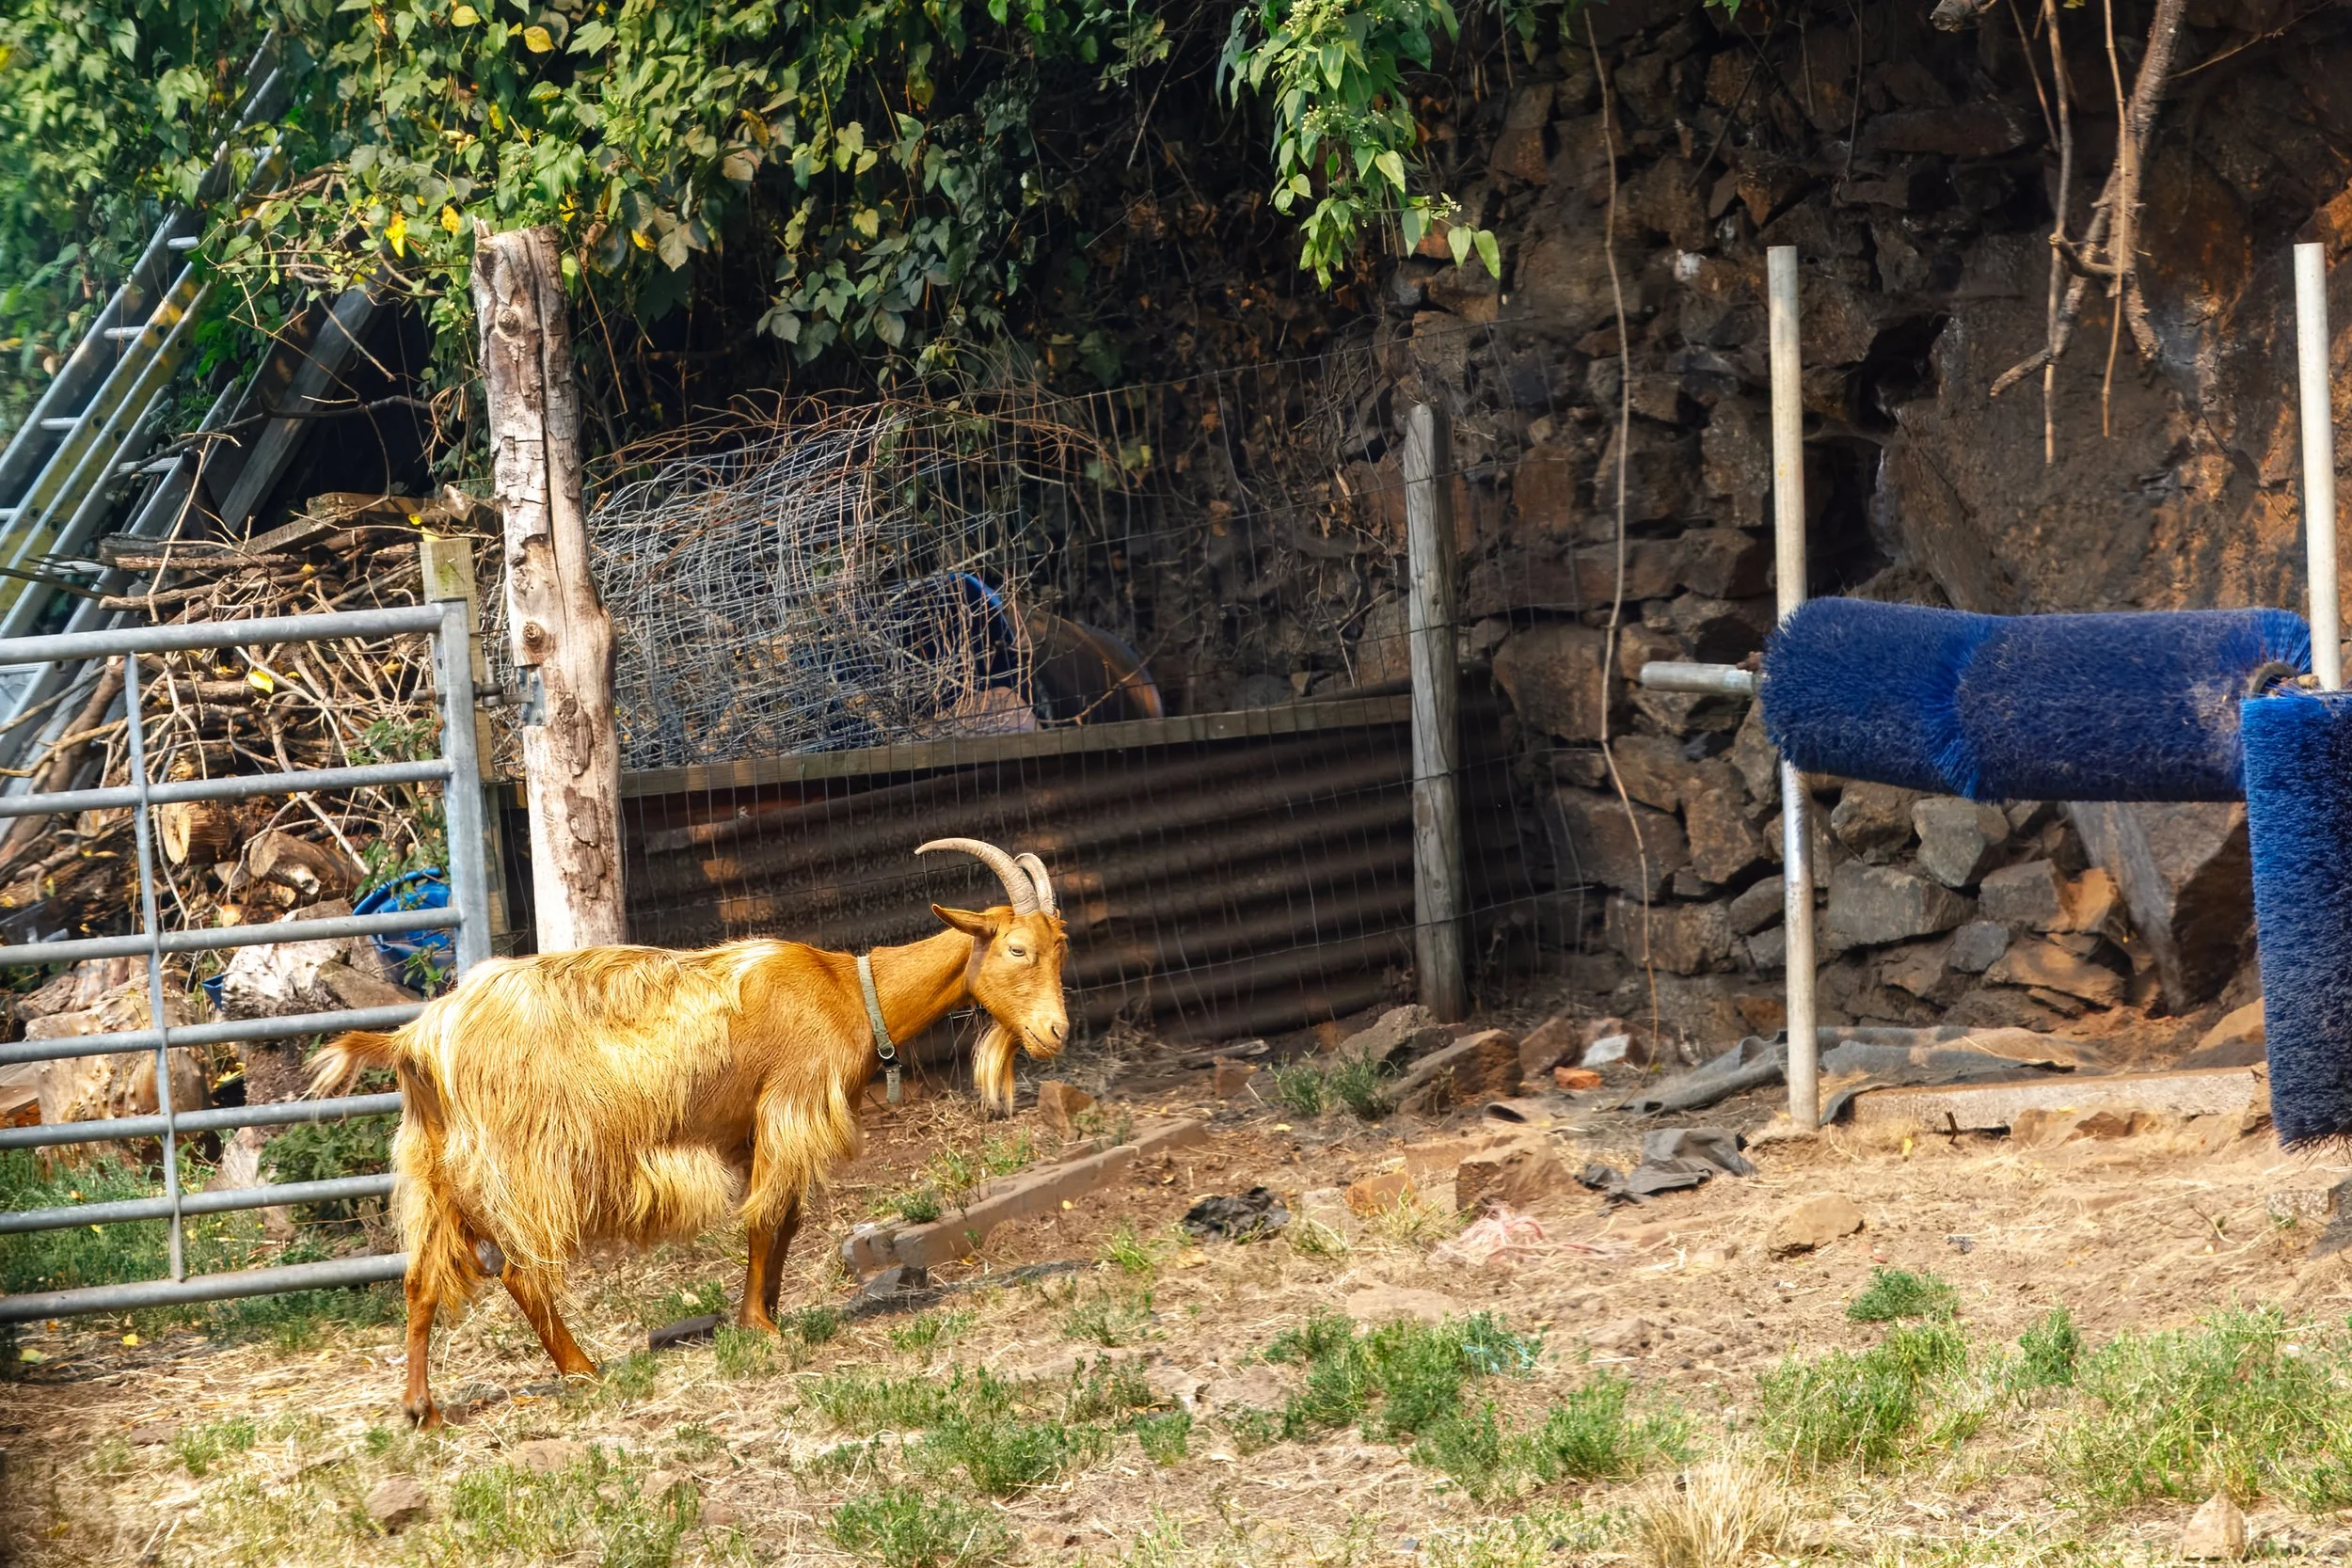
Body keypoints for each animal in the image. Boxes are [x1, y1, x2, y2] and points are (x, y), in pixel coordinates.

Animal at [306, 838, 1067, 1428]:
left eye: (1060, 948)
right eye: (1017, 948)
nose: (1057, 1031)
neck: (848, 991)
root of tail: (418, 1035)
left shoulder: (752, 1129)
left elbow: (784, 1222)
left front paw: (763, 1310)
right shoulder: (787, 1107)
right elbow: (767, 1217)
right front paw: (762, 1326)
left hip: (432, 1165)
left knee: (420, 1279)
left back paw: (421, 1408)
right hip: (525, 1160)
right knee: (521, 1268)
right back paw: (582, 1369)